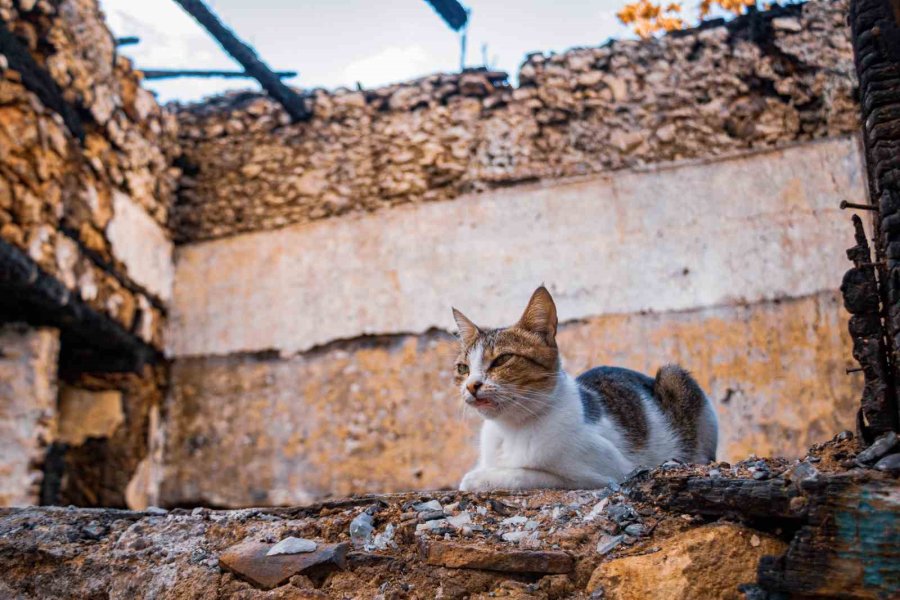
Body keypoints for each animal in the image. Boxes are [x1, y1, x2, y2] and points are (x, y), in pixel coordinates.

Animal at [454, 288, 720, 492]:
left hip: (673, 376)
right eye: (463, 368)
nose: (471, 385)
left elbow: (530, 474)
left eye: (502, 359)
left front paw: (481, 478)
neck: (510, 430)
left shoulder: (610, 472)